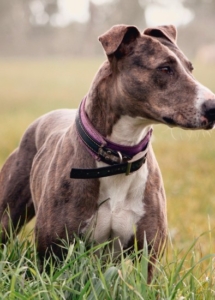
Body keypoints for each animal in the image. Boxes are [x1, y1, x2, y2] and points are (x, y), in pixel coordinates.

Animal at [0, 24, 215, 282]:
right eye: (165, 68)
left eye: (190, 68)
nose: (214, 107)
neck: (119, 156)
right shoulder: (51, 255)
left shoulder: (148, 256)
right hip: (7, 213)